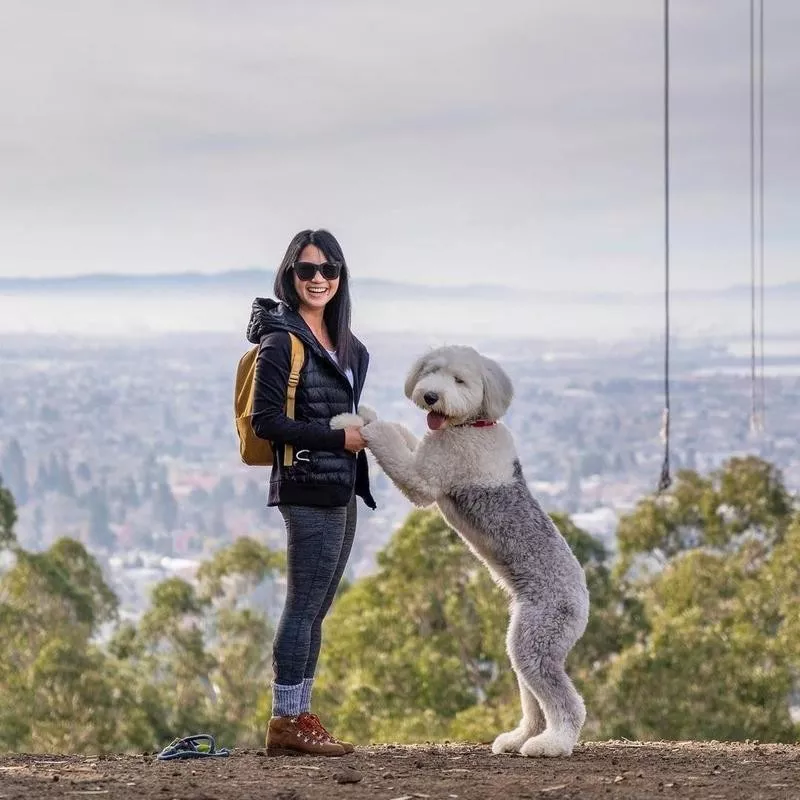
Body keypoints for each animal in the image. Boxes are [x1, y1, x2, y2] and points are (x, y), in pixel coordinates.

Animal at [334, 346, 592, 756]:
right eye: (432, 371)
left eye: (460, 380)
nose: (430, 396)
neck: (472, 425)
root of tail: (583, 597)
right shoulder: (425, 453)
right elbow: (404, 434)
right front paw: (368, 413)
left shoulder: (423, 479)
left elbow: (390, 442)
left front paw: (354, 422)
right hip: (521, 639)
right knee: (533, 700)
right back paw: (518, 738)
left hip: (539, 639)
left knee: (566, 703)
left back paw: (551, 744)